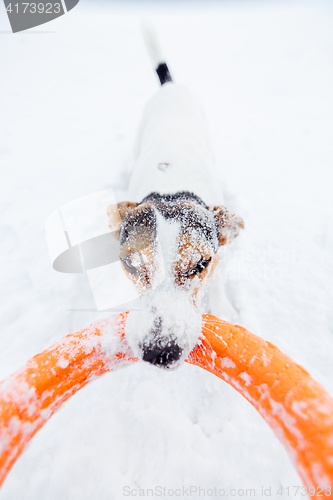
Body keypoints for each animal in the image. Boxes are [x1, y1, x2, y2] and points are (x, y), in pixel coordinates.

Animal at [107, 25, 243, 370]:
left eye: (200, 264)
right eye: (130, 265)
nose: (159, 352)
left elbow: (219, 279)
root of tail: (169, 87)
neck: (171, 190)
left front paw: (224, 308)